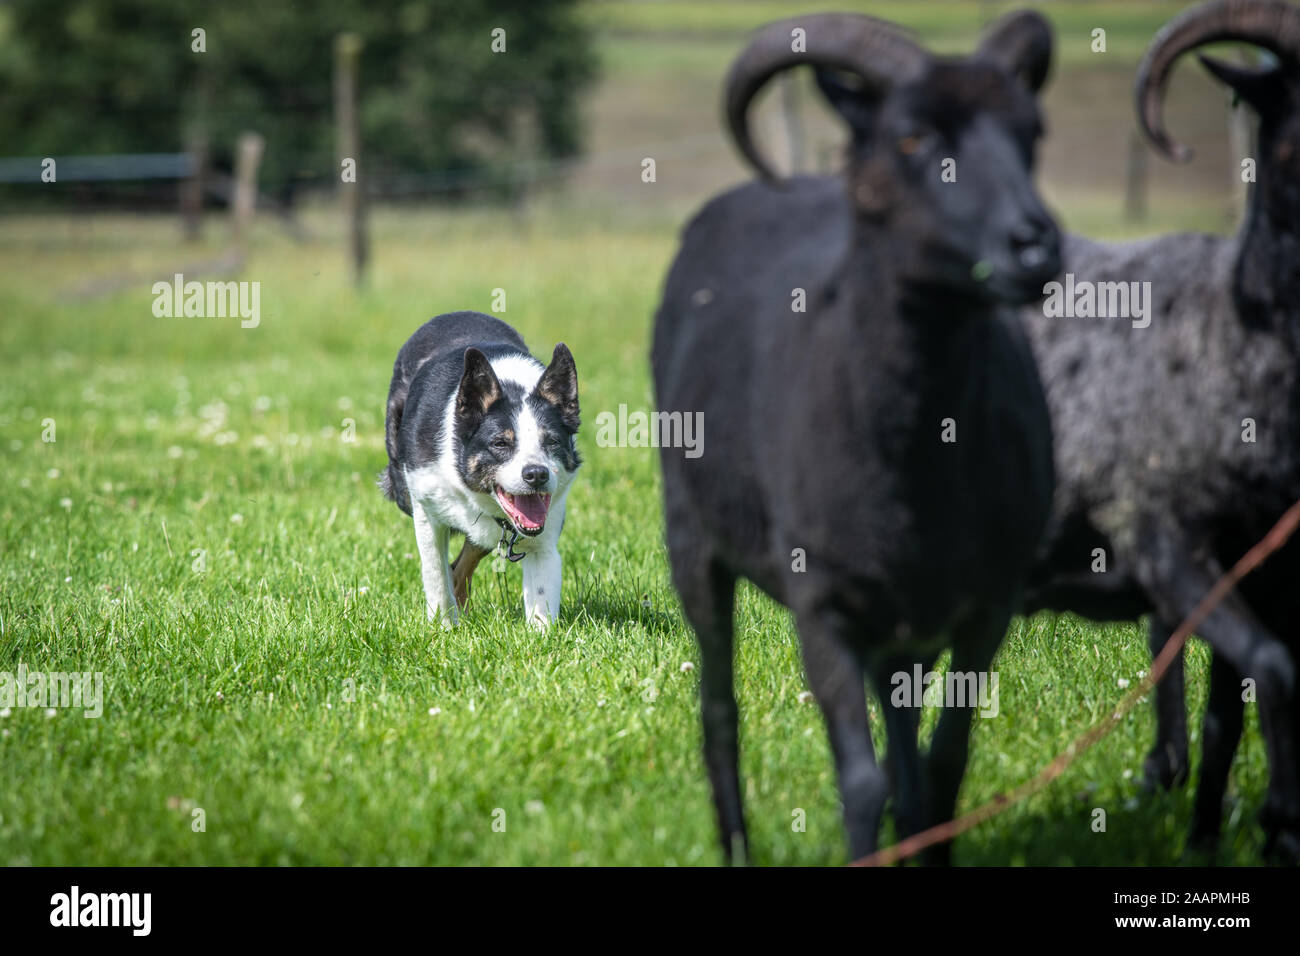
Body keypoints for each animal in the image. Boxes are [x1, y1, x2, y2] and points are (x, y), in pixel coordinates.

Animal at [377, 310, 579, 632]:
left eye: (552, 441)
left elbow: (541, 599)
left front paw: (541, 637)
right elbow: (436, 575)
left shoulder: (543, 538)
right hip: (402, 488)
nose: (536, 474)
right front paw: (442, 628)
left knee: (461, 567)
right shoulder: (427, 512)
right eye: (500, 443)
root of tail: (452, 314)